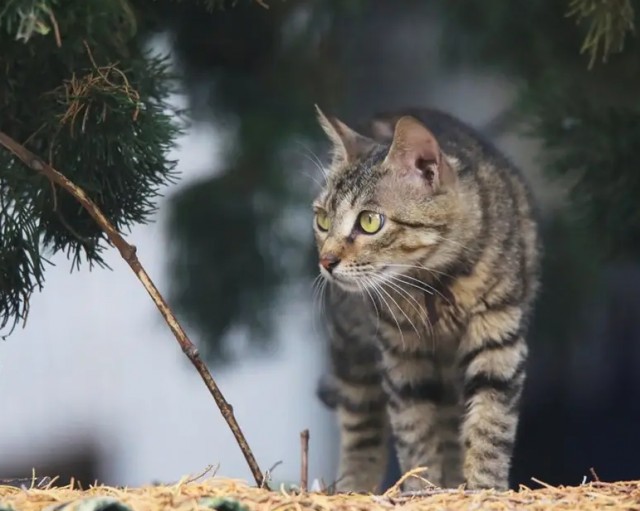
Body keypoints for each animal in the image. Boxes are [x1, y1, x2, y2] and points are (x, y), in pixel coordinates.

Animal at [312, 106, 544, 494]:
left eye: (370, 221)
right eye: (322, 219)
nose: (326, 261)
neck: (435, 283)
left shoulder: (499, 336)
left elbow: (490, 425)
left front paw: (483, 489)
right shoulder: (400, 355)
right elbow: (415, 432)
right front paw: (422, 489)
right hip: (352, 350)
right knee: (362, 426)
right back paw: (355, 485)